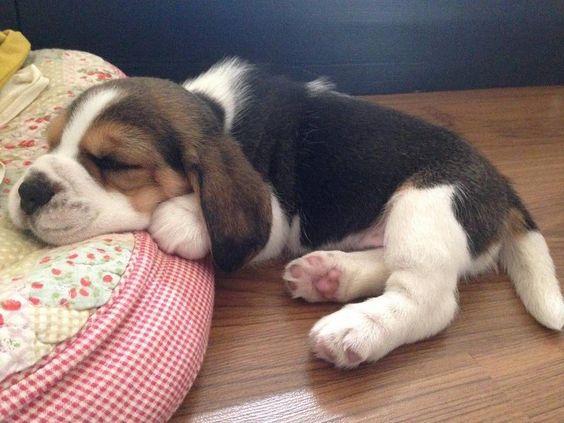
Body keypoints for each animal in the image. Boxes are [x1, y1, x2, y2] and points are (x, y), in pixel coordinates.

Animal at [6, 58, 560, 370]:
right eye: (50, 142)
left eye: (117, 164)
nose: (29, 191)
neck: (217, 113)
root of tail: (503, 186)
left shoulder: (277, 208)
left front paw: (179, 218)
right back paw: (329, 275)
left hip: (429, 201)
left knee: (430, 299)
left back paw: (357, 329)